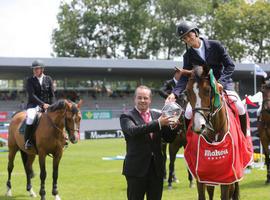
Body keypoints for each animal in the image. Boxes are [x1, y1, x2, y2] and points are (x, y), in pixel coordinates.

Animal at [185, 65, 252, 198]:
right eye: (187, 92)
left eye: (207, 90)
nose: (198, 126)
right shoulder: (202, 175)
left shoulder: (228, 175)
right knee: (210, 190)